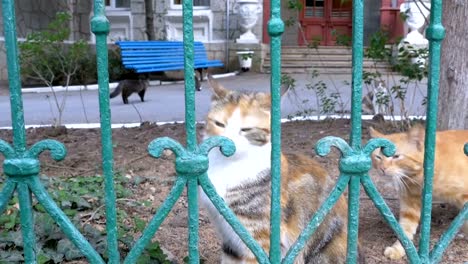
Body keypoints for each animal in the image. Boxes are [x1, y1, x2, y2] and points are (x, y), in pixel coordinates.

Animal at [197, 75, 362, 262]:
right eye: (219, 124)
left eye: (246, 129)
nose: (227, 144)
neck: (228, 166)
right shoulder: (230, 241)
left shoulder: (258, 238)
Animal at [372, 126, 466, 260]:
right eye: (378, 157)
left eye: (396, 156)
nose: (382, 169)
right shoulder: (410, 204)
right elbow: (405, 230)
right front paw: (398, 249)